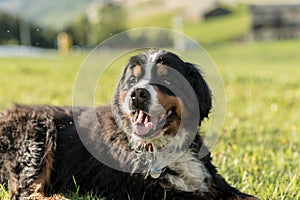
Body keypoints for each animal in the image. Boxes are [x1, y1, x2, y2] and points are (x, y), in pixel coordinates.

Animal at [0, 49, 258, 199]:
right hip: (36, 134)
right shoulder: (150, 191)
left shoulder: (212, 182)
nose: (137, 94)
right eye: (132, 80)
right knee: (27, 192)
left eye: (167, 79)